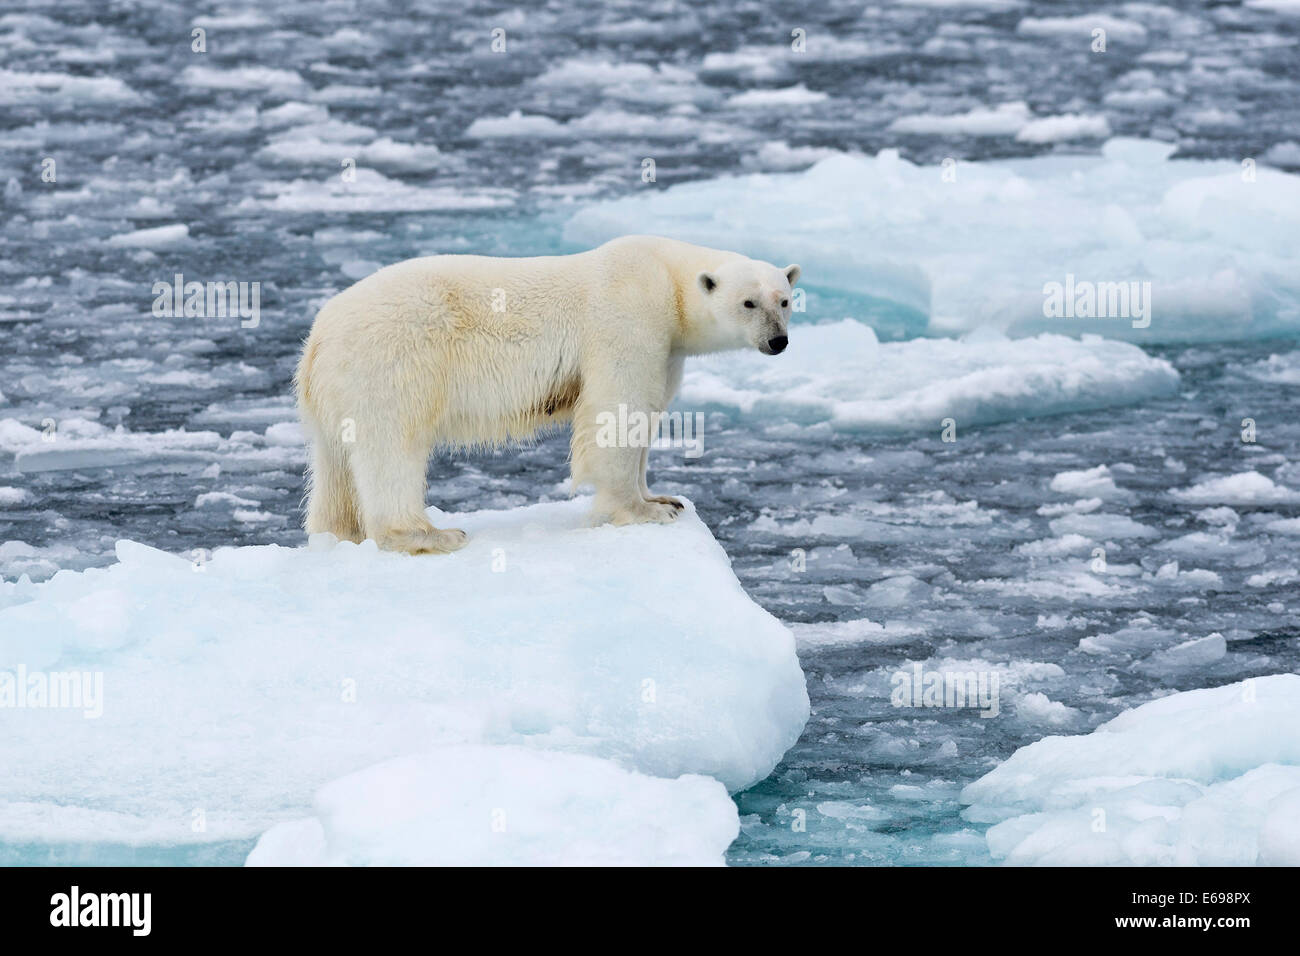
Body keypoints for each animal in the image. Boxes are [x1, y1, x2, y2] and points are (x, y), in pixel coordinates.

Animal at [297, 232, 800, 556]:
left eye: (785, 299)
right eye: (748, 303)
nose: (778, 341)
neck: (665, 276)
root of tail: (319, 335)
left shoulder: (668, 347)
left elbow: (649, 410)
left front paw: (663, 498)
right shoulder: (630, 317)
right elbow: (616, 409)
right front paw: (642, 512)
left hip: (337, 389)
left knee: (336, 462)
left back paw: (339, 534)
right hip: (392, 361)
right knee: (392, 447)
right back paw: (429, 535)